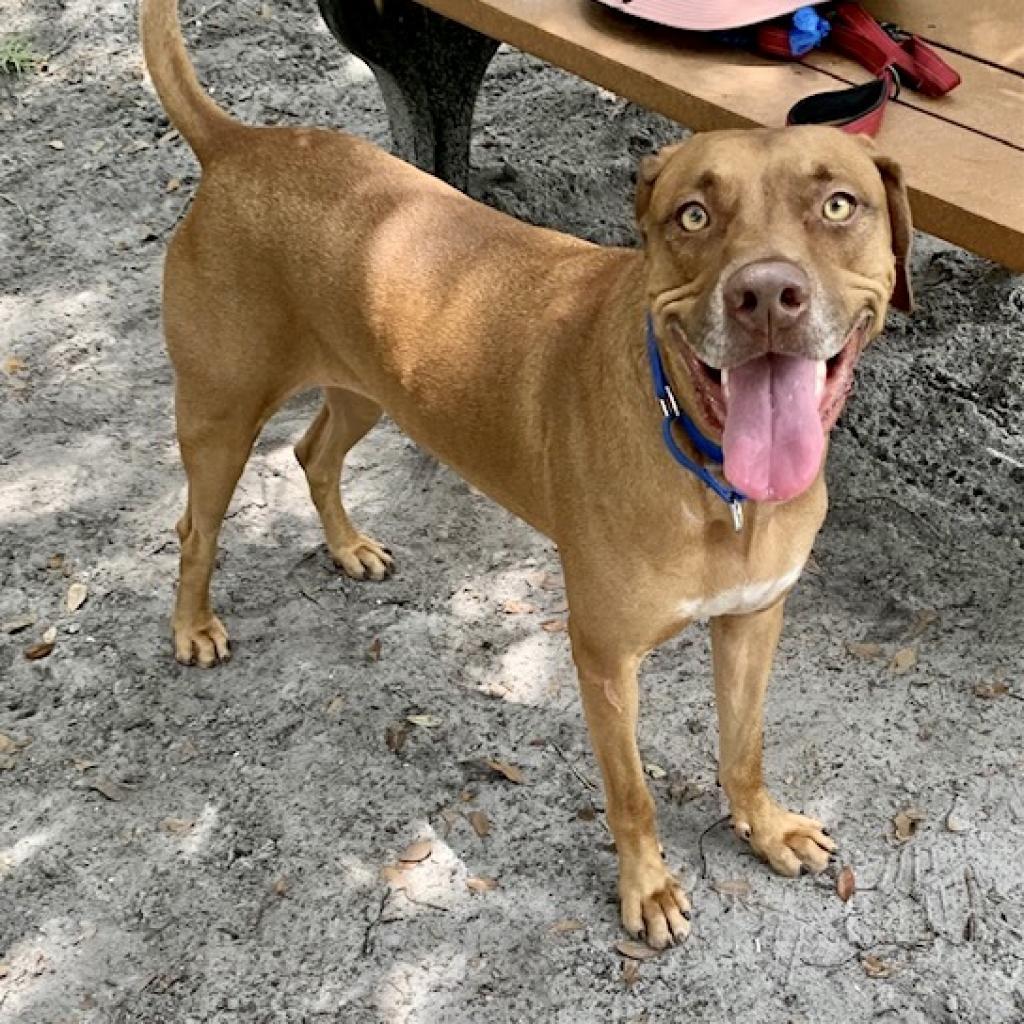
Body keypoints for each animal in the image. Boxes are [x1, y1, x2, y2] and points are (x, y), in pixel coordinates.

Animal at [142, 0, 913, 946]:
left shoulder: (752, 621)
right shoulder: (604, 658)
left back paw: (349, 547)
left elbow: (744, 745)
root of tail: (241, 142)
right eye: (693, 216)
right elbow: (631, 794)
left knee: (313, 453)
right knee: (195, 526)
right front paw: (647, 888)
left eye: (839, 204)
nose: (766, 295)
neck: (714, 483)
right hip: (221, 414)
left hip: (368, 388)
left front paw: (763, 827)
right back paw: (193, 626)